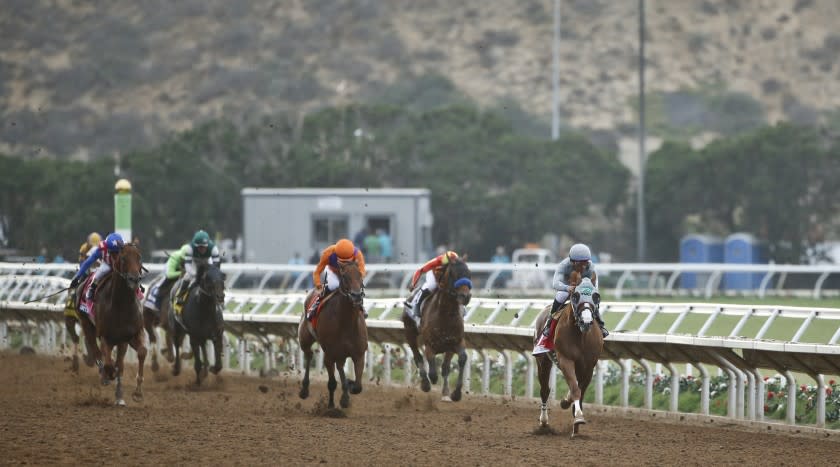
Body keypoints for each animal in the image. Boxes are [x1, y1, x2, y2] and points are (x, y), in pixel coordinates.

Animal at [77, 243, 148, 408]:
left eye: (139, 257)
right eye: (123, 258)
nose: (135, 279)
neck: (121, 305)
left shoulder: (131, 335)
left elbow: (141, 353)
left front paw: (137, 393)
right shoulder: (105, 336)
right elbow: (109, 364)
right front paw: (108, 375)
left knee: (117, 362)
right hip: (86, 324)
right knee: (96, 351)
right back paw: (105, 376)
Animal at [300, 262, 370, 412]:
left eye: (360, 275)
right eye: (344, 276)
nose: (356, 296)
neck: (346, 322)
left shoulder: (359, 354)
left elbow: (358, 386)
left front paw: (350, 385)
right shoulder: (334, 352)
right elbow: (335, 380)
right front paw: (341, 401)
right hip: (305, 339)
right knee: (309, 355)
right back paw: (305, 390)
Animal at [402, 260, 472, 402]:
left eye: (469, 273)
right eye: (452, 274)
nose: (466, 296)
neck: (445, 315)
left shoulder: (456, 342)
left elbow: (461, 359)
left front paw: (455, 393)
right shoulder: (429, 345)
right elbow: (432, 371)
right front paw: (430, 381)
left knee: (444, 366)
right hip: (410, 333)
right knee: (418, 357)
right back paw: (425, 383)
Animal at [536, 276, 600, 436]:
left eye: (596, 296)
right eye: (575, 296)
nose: (586, 321)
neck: (580, 336)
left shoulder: (588, 367)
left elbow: (579, 391)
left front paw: (575, 426)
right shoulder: (566, 360)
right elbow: (575, 389)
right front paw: (578, 417)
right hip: (543, 361)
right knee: (544, 390)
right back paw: (544, 422)